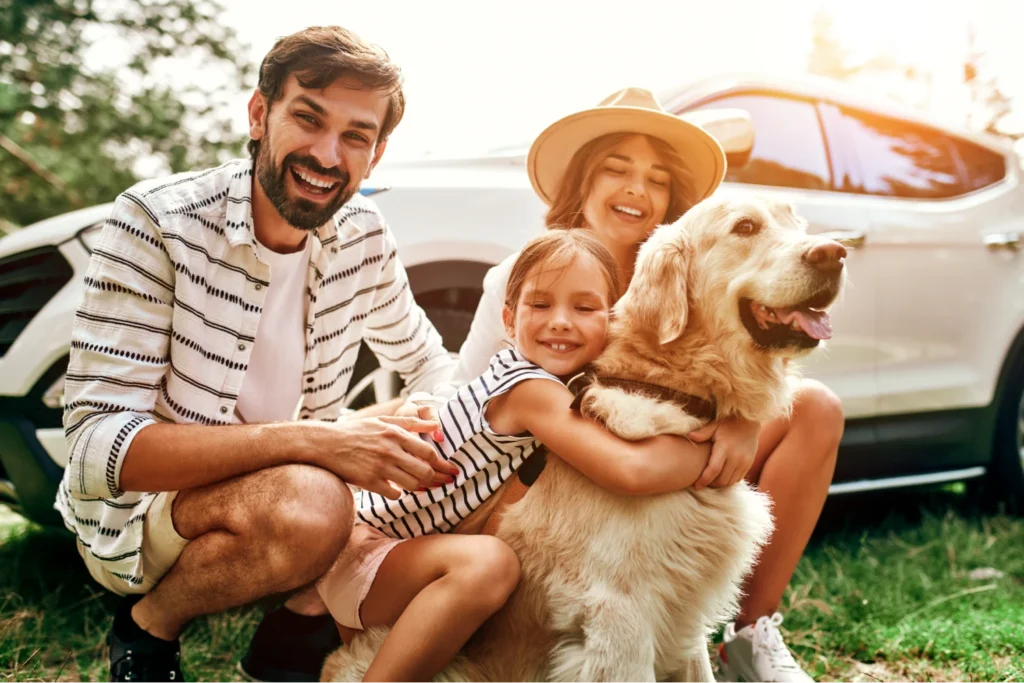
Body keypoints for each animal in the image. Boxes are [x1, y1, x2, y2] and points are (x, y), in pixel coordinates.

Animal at [321, 194, 847, 683]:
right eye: (745, 227)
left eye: (796, 221)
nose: (834, 252)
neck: (665, 384)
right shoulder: (620, 614)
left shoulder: (684, 612)